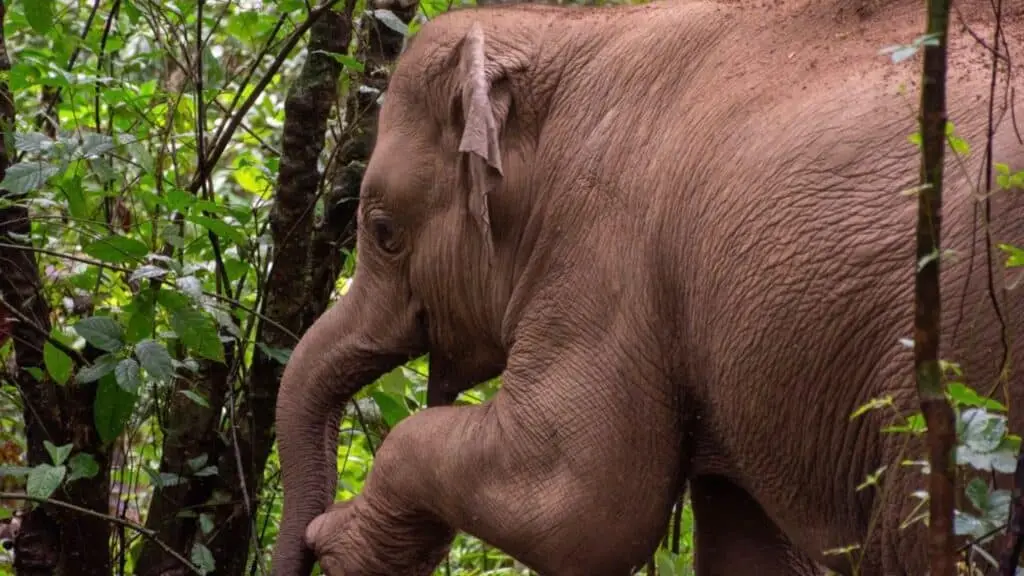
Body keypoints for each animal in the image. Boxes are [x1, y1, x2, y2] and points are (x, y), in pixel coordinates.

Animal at [270, 0, 1024, 574]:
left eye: (382, 231)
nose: (300, 546)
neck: (569, 34)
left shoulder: (608, 250)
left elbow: (578, 500)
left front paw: (339, 544)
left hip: (975, 361)